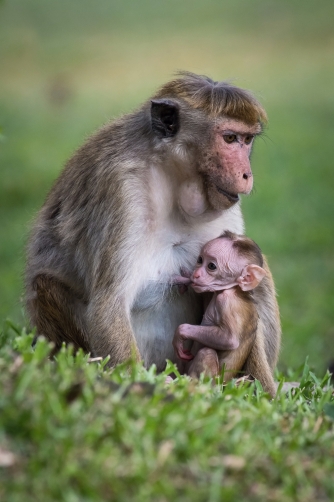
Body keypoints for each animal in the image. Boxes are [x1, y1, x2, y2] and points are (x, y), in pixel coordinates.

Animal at [172, 230, 276, 396]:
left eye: (211, 266)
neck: (235, 290)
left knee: (207, 353)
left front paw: (181, 333)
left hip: (217, 383)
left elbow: (229, 339)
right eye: (200, 260)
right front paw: (185, 280)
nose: (196, 274)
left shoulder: (227, 303)